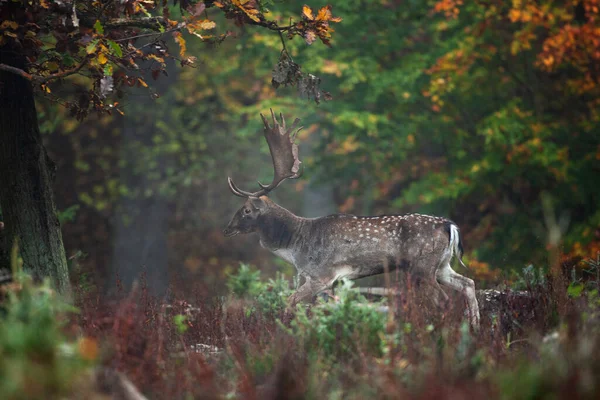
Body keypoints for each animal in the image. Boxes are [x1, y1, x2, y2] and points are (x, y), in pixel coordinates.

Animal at [223, 109, 480, 328]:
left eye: (246, 210)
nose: (227, 229)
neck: (295, 247)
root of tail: (448, 225)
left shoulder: (321, 275)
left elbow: (290, 301)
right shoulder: (325, 281)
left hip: (422, 266)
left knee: (444, 298)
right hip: (441, 265)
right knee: (468, 284)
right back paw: (475, 329)